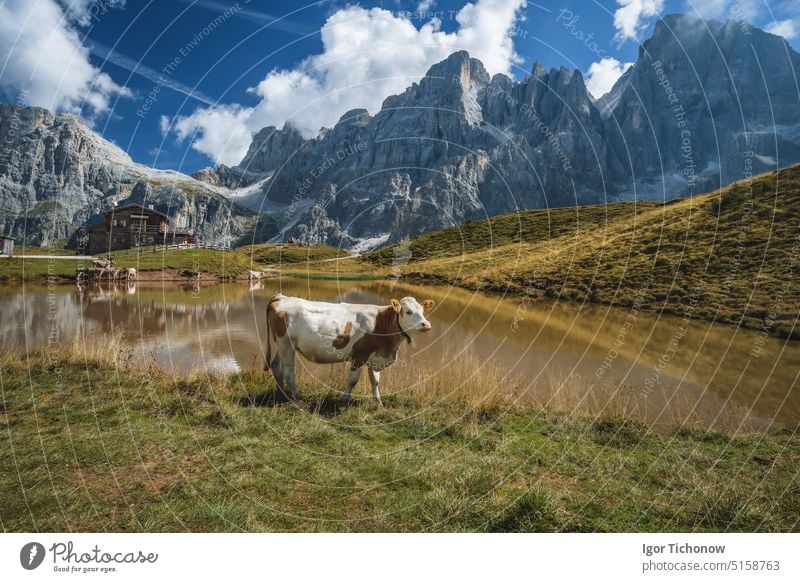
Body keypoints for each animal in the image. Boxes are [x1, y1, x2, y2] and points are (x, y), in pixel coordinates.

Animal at [266, 296, 434, 406]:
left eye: (422, 311)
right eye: (408, 311)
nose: (426, 324)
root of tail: (281, 297)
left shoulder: (374, 357)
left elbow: (375, 381)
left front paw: (378, 402)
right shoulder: (360, 355)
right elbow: (353, 380)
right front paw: (343, 400)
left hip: (282, 345)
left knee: (276, 366)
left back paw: (281, 394)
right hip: (286, 344)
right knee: (288, 371)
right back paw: (296, 397)